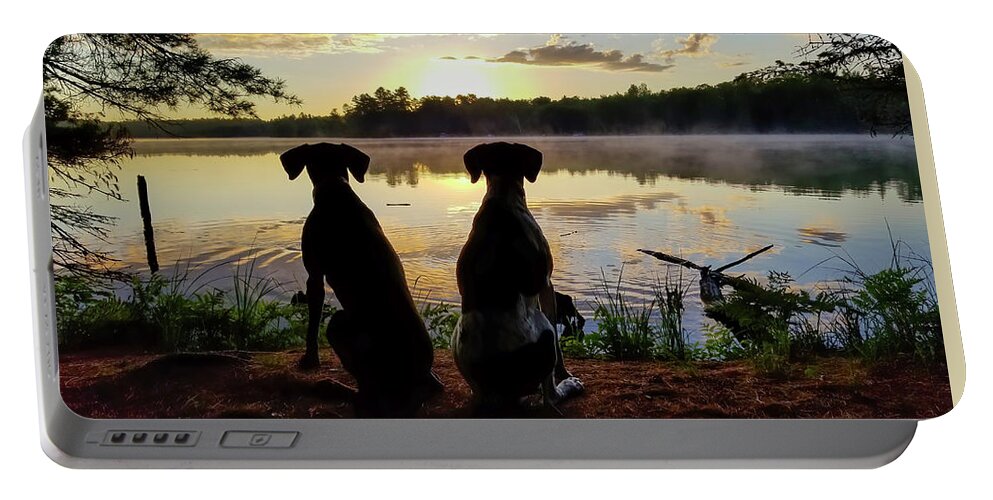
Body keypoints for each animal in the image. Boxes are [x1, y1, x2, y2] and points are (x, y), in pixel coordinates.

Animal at [278, 143, 436, 416]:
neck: (335, 187)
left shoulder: (314, 276)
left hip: (341, 324)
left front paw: (310, 360)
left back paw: (331, 386)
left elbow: (312, 325)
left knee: (367, 396)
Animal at [452, 142, 580, 414]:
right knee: (550, 397)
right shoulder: (546, 284)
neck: (502, 198)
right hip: (544, 331)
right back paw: (569, 387)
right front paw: (565, 373)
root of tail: (494, 392)